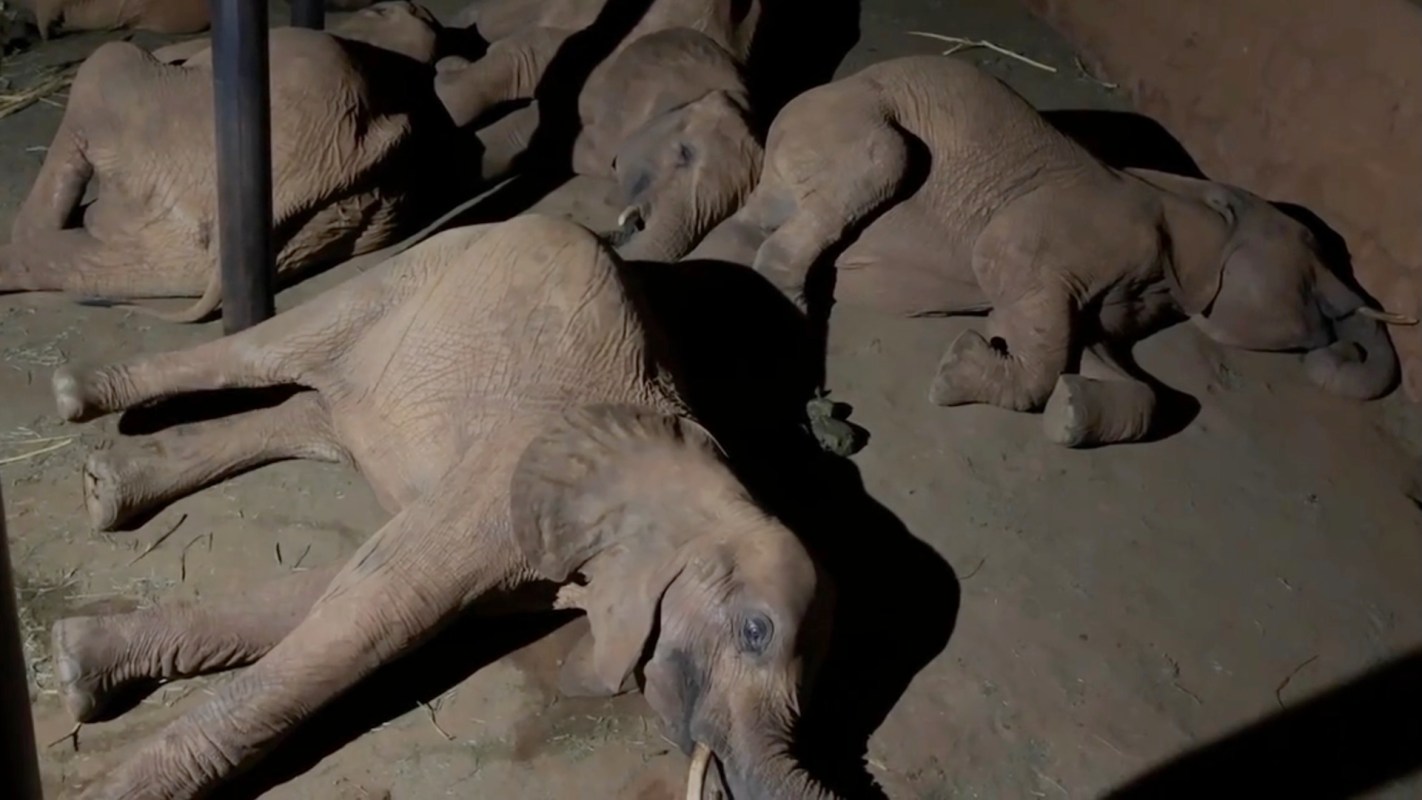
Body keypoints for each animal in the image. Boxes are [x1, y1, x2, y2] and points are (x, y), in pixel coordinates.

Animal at [45, 214, 839, 800]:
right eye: (757, 630)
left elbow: (354, 598)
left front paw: (75, 663)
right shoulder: (512, 471)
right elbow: (381, 612)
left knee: (319, 416)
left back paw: (104, 489)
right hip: (413, 271)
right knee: (272, 350)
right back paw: (74, 397)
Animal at [688, 55, 1419, 448]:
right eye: (1315, 271)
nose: (1343, 347)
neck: (1196, 195)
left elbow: (1116, 369)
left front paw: (1070, 415)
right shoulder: (1066, 230)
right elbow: (1016, 290)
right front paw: (956, 370)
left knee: (743, 232)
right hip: (857, 129)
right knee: (882, 163)